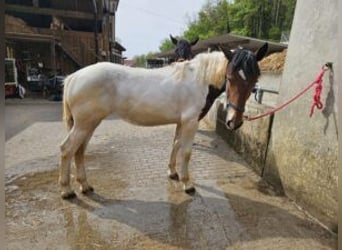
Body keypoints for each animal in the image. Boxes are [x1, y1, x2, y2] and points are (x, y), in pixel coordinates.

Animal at [58, 44, 268, 198]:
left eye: (254, 79)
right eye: (230, 77)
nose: (235, 121)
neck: (199, 80)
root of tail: (74, 76)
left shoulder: (181, 122)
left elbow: (175, 145)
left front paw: (173, 173)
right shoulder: (190, 122)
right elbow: (186, 152)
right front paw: (187, 184)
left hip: (90, 124)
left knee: (79, 151)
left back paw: (85, 186)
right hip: (84, 124)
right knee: (67, 149)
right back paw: (67, 190)